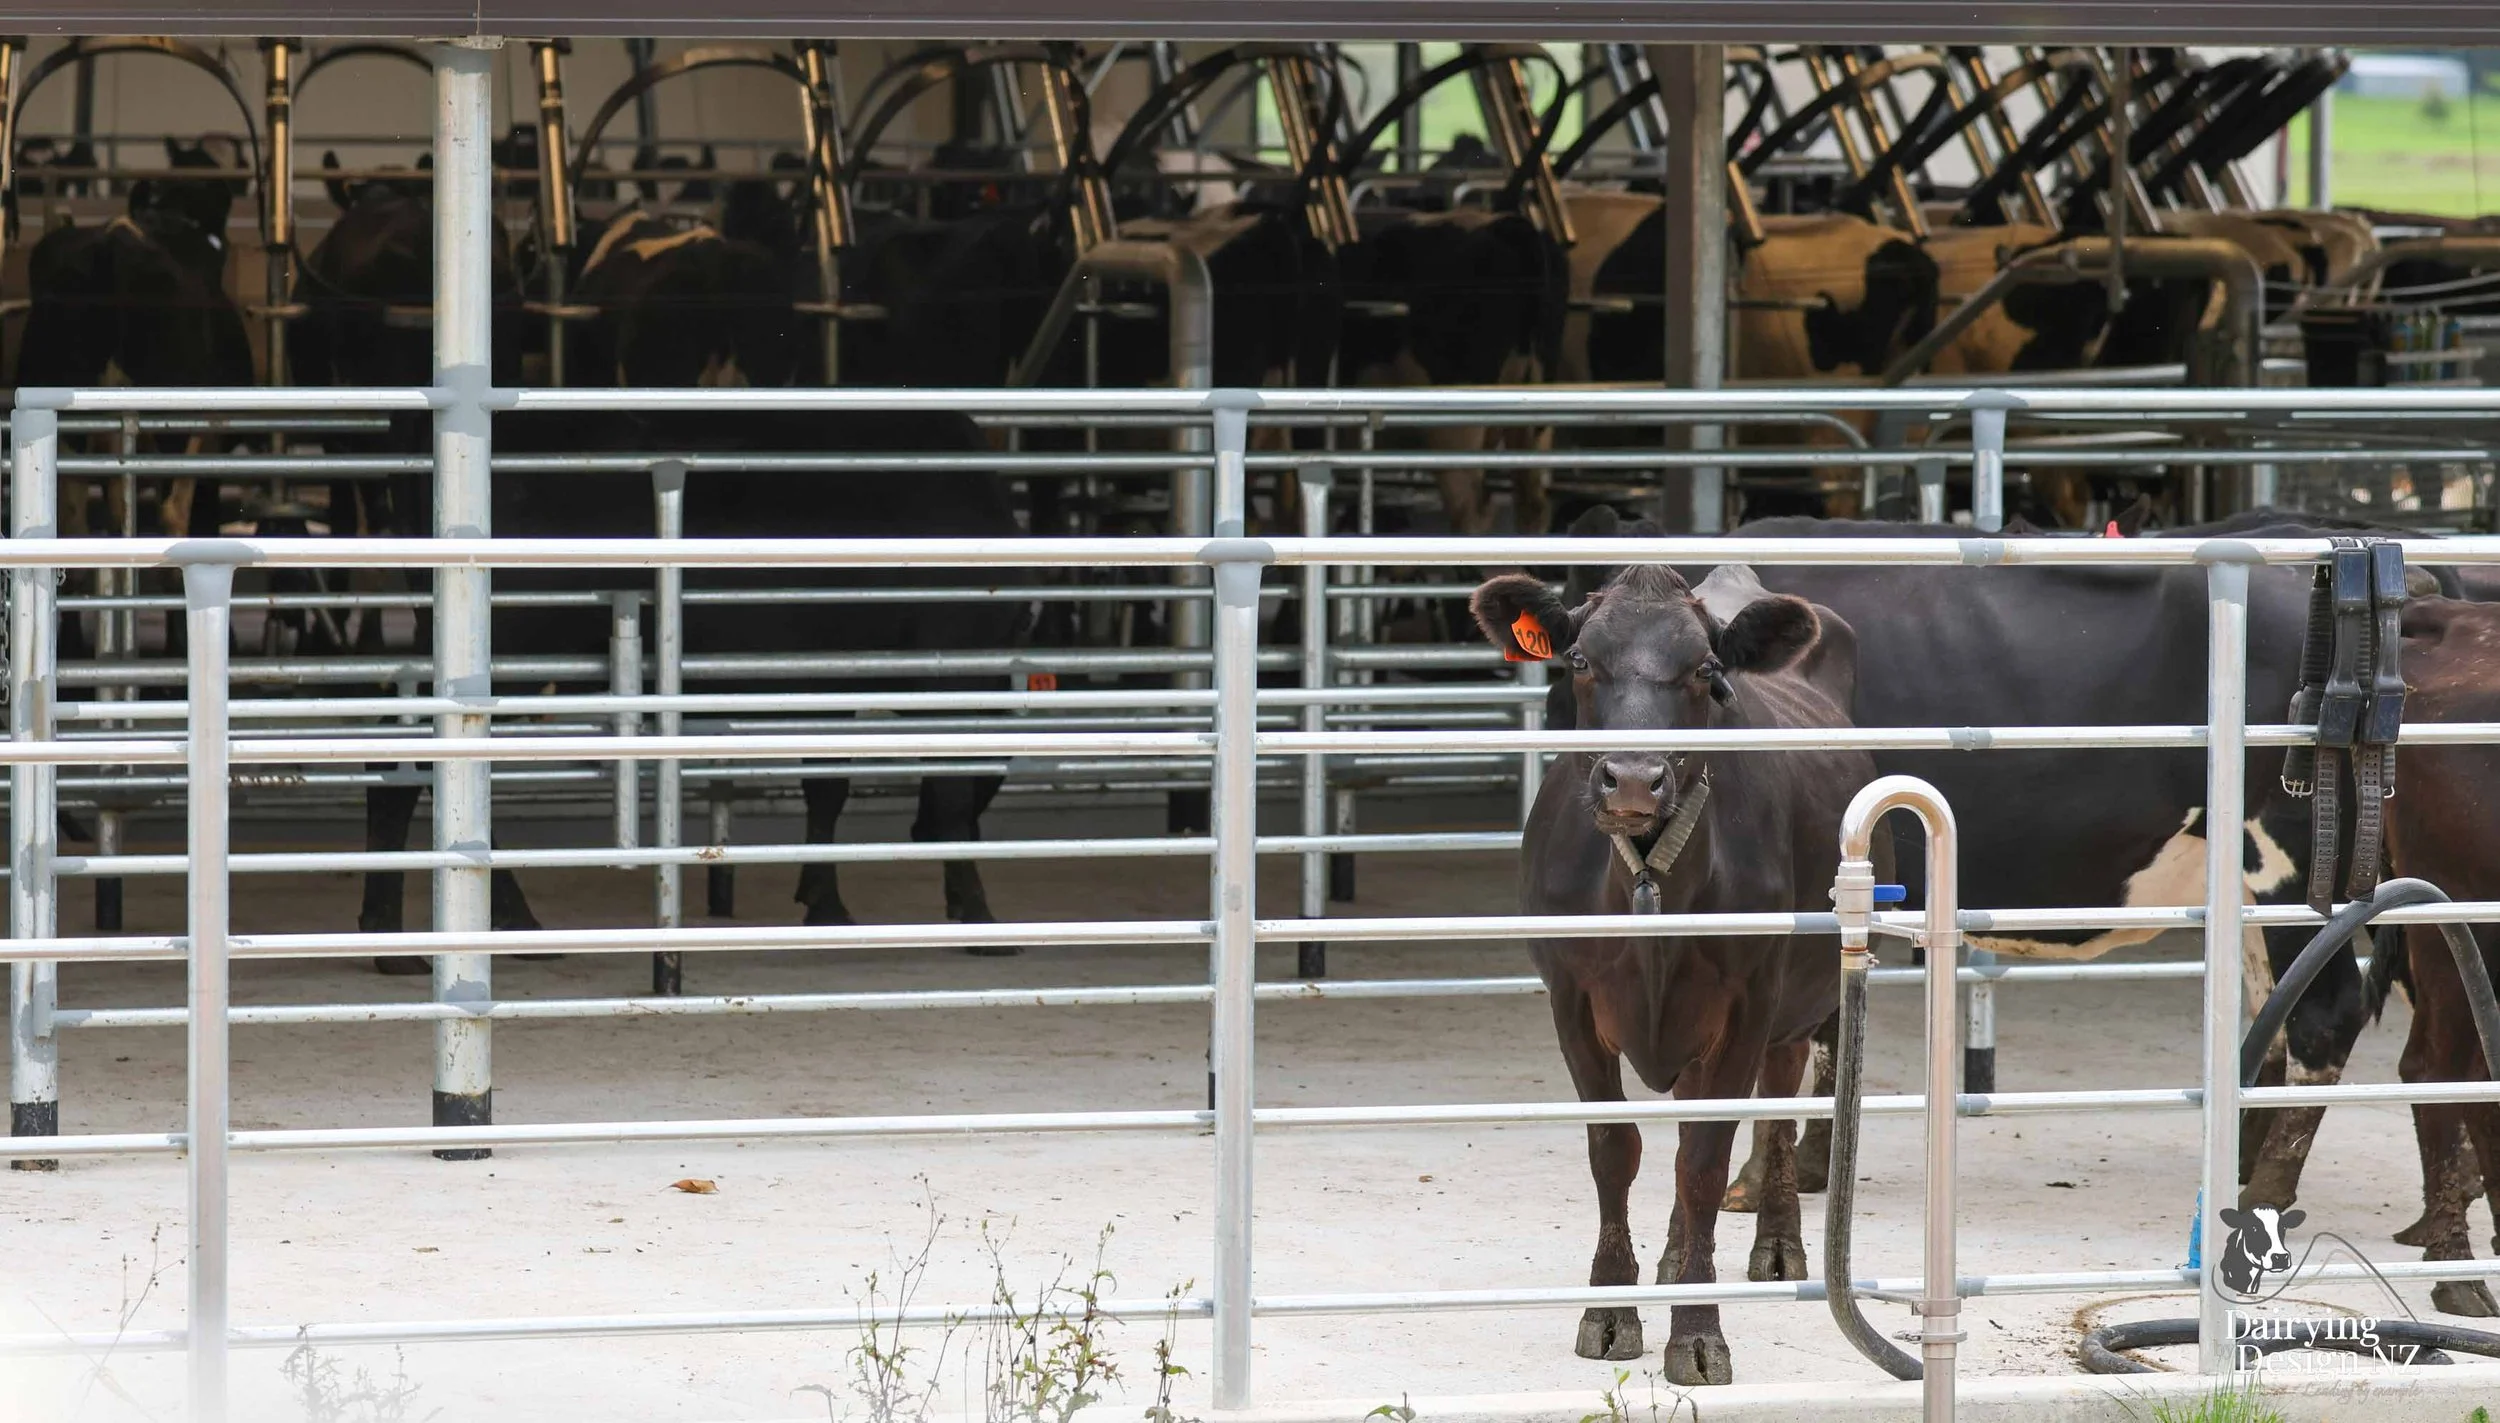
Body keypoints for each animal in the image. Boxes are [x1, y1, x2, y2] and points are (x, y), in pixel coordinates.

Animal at [1469, 548, 1873, 1385]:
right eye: (1580, 659)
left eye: (1706, 669)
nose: (1631, 778)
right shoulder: (1570, 1000)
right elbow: (1615, 1150)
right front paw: (1611, 1310)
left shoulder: (1748, 1002)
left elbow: (1703, 1160)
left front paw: (1697, 1329)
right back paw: (1671, 1255)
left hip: (1797, 1002)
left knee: (1775, 1107)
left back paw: (1773, 1243)